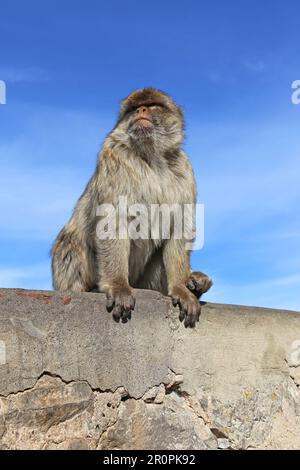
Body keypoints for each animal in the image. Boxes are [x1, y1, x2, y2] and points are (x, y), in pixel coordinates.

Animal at [51, 87, 212, 326]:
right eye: (134, 108)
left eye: (152, 105)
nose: (141, 111)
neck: (151, 156)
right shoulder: (112, 155)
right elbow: (112, 221)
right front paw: (118, 286)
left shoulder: (186, 169)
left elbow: (179, 227)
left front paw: (181, 288)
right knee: (69, 242)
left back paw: (196, 284)